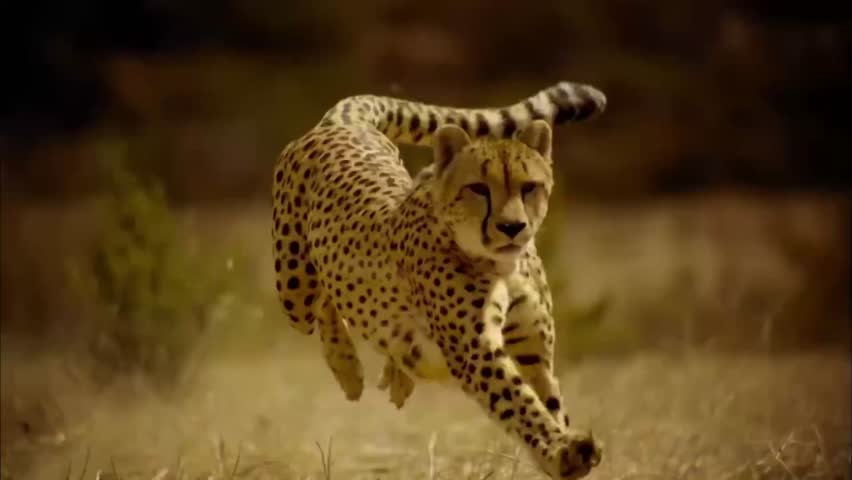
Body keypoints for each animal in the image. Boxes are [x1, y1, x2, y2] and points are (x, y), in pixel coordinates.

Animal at [271, 81, 607, 479]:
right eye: (478, 188)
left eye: (529, 187)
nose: (512, 227)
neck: (503, 264)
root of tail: (344, 124)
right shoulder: (475, 349)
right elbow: (520, 403)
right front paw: (563, 450)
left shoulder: (532, 348)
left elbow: (546, 401)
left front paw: (560, 448)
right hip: (294, 286)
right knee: (324, 300)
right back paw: (347, 367)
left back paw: (398, 372)